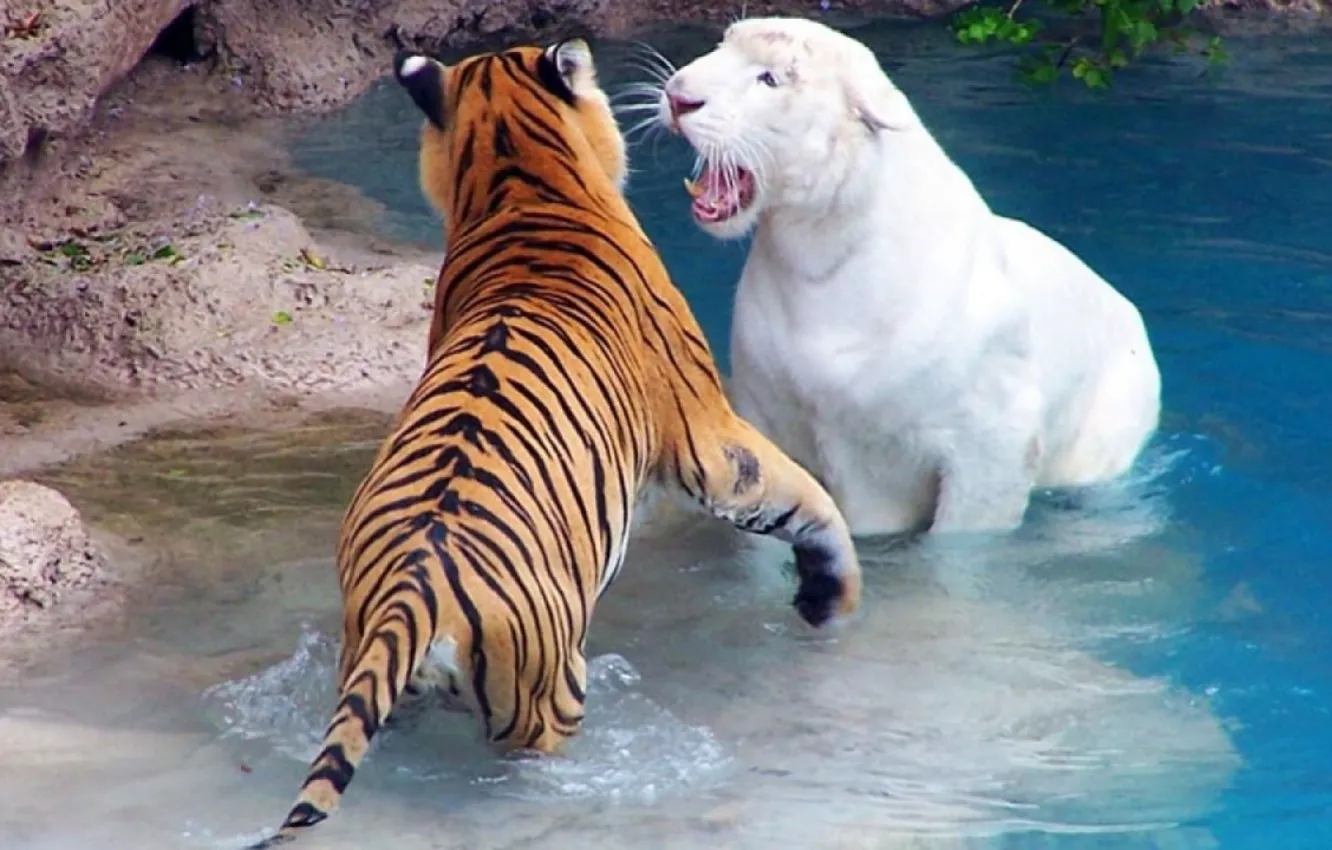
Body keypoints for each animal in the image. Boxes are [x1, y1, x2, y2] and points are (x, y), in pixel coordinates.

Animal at [244, 37, 863, 848]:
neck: (519, 181)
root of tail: (413, 593)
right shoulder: (707, 437)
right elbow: (805, 500)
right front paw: (831, 597)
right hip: (549, 692)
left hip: (370, 664)